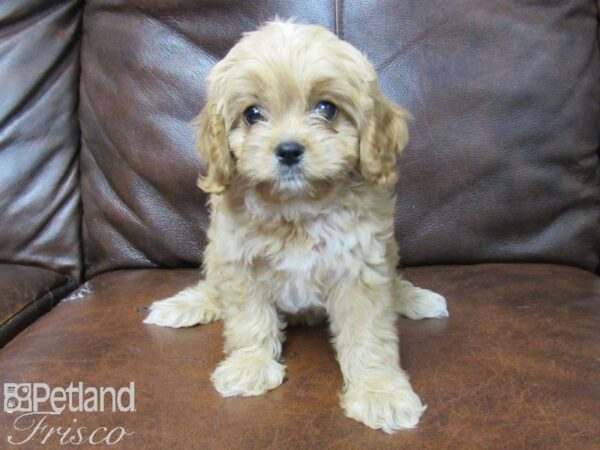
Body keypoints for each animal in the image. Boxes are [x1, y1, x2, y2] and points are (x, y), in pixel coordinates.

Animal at [143, 20, 448, 432]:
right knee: (214, 289)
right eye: (252, 114)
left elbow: (369, 336)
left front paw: (379, 392)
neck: (298, 207)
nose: (288, 150)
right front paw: (250, 366)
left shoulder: (360, 267)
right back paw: (186, 305)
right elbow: (249, 320)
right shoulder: (239, 262)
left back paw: (413, 298)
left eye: (327, 108)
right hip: (215, 254)